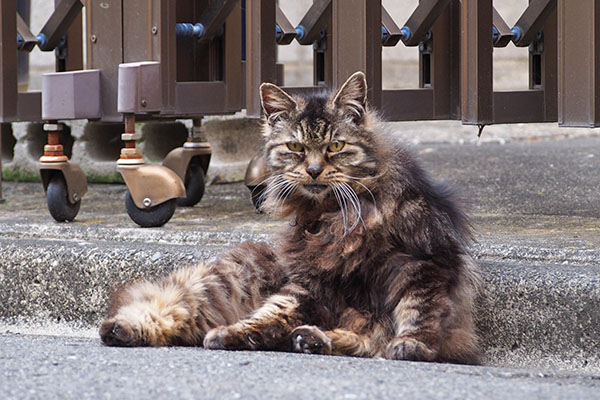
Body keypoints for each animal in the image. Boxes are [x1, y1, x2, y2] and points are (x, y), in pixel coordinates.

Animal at [99, 71, 482, 362]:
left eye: (335, 147)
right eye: (295, 147)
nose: (313, 170)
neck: (334, 215)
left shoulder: (423, 263)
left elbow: (417, 312)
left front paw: (411, 345)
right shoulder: (308, 283)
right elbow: (272, 313)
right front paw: (236, 334)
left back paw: (312, 339)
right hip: (226, 280)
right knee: (171, 305)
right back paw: (122, 329)